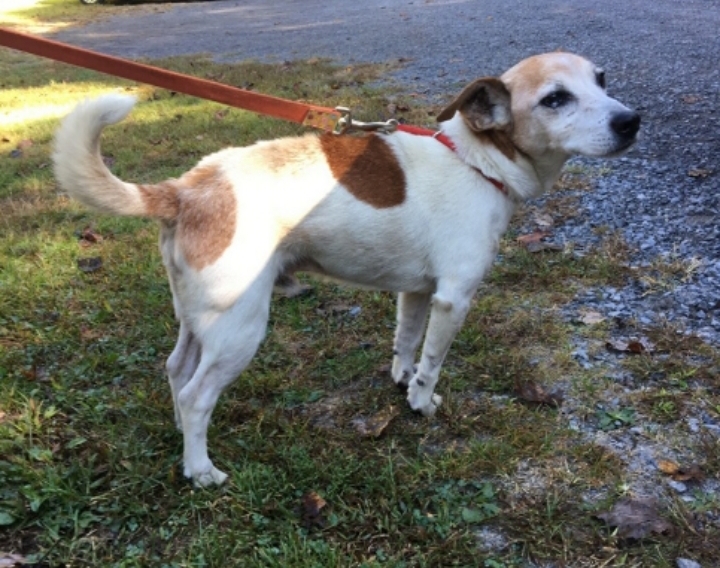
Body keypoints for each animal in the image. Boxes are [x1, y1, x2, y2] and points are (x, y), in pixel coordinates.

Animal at [54, 53, 640, 486]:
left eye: (602, 80)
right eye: (555, 99)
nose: (631, 120)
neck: (477, 160)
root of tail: (186, 189)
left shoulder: (418, 293)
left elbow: (406, 342)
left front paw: (400, 380)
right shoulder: (454, 298)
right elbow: (432, 362)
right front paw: (420, 403)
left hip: (200, 319)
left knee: (177, 375)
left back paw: (181, 438)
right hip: (240, 327)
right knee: (198, 396)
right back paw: (200, 469)